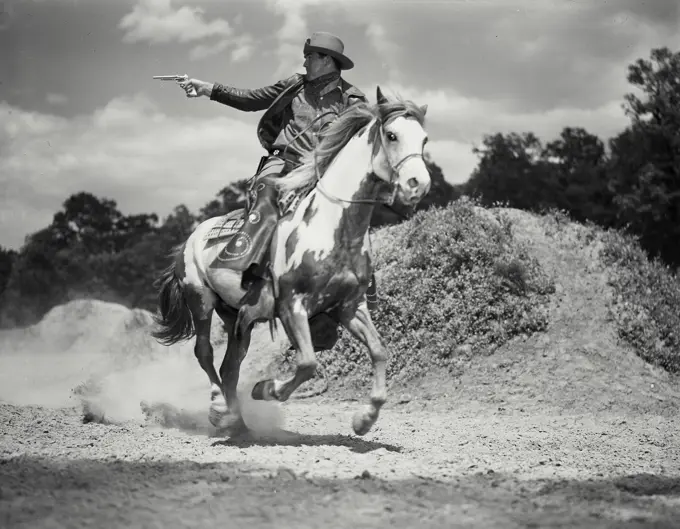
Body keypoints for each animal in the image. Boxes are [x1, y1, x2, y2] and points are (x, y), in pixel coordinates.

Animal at [153, 86, 430, 438]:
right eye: (392, 135)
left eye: (424, 140)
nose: (418, 184)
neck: (331, 224)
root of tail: (192, 238)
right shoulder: (291, 305)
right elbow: (307, 363)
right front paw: (266, 389)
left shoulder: (348, 307)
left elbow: (379, 350)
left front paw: (365, 419)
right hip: (200, 300)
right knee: (204, 352)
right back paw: (219, 409)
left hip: (236, 315)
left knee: (231, 366)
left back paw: (238, 421)